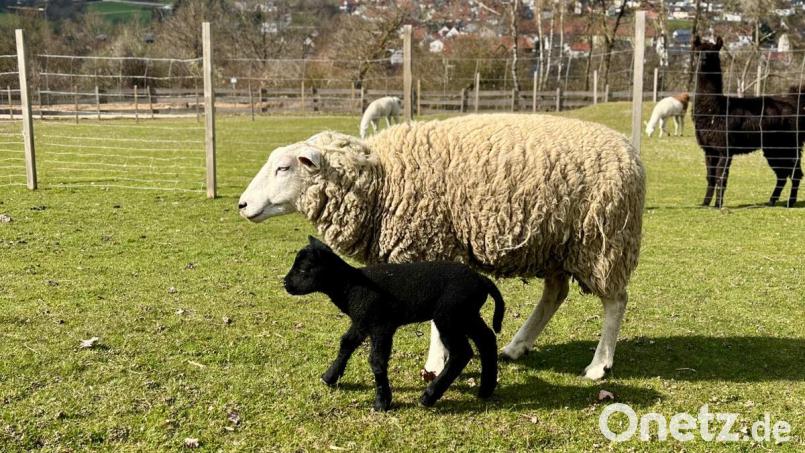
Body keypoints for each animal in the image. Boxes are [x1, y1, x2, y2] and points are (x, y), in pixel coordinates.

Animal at [239, 114, 646, 380]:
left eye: (284, 168)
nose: (242, 205)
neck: (381, 180)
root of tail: (630, 152)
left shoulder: (432, 243)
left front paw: (435, 365)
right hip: (556, 244)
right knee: (555, 294)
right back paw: (517, 346)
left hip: (603, 241)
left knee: (616, 301)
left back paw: (599, 365)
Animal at [284, 236, 505, 410]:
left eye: (303, 269)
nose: (285, 283)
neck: (350, 286)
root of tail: (482, 279)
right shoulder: (362, 322)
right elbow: (346, 343)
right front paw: (330, 376)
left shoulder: (381, 325)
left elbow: (377, 361)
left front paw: (382, 402)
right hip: (467, 314)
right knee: (486, 339)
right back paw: (486, 389)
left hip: (450, 315)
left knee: (462, 353)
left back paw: (428, 397)